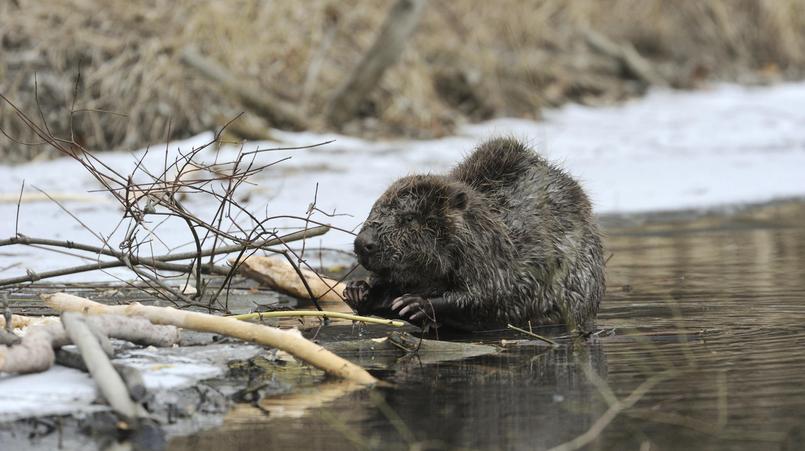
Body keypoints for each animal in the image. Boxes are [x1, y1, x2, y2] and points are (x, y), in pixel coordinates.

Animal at [344, 138, 604, 332]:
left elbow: (488, 294)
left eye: (409, 218)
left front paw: (415, 304)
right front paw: (357, 290)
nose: (362, 243)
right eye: (374, 209)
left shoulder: (495, 258)